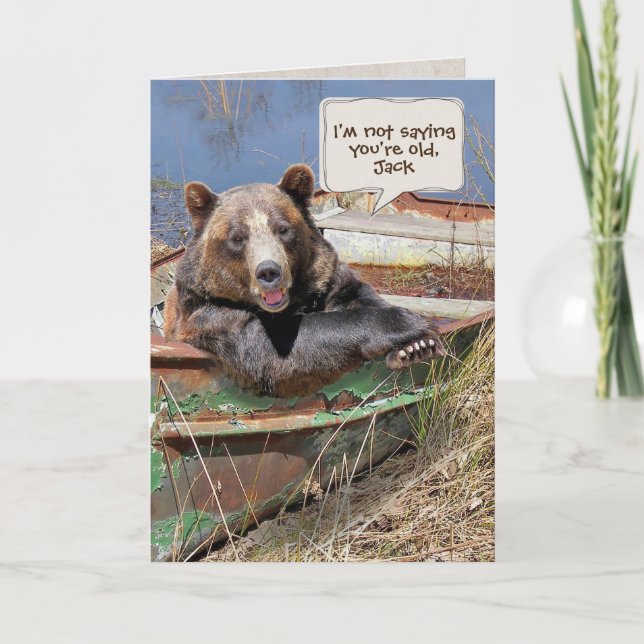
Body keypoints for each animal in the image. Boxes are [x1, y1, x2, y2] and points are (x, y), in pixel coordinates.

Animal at [163, 164, 445, 398]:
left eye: (283, 228)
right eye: (237, 237)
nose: (269, 272)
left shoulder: (325, 280)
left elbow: (357, 295)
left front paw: (416, 347)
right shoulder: (213, 315)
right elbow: (276, 349)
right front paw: (406, 322)